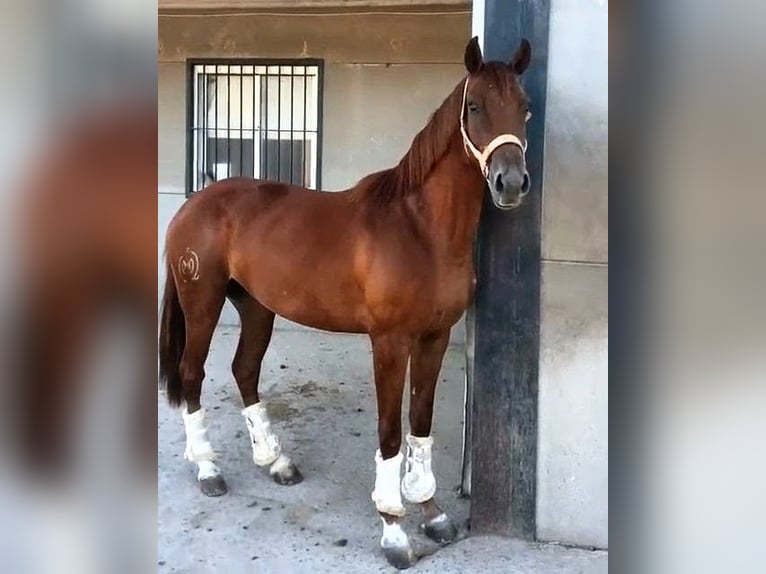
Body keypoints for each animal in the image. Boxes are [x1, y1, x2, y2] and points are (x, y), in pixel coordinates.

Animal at [159, 36, 533, 570]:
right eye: (476, 106)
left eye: (524, 107)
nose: (511, 183)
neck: (420, 230)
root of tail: (194, 203)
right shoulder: (390, 343)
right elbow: (390, 431)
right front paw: (394, 528)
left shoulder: (435, 337)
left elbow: (420, 423)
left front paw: (432, 512)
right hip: (202, 303)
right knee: (193, 375)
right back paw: (209, 468)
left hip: (257, 307)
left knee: (245, 371)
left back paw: (276, 462)